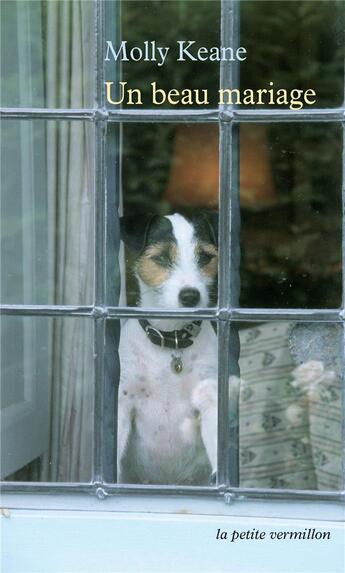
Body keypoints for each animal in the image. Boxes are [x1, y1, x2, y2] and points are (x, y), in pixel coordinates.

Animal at [117, 212, 216, 484]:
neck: (172, 340)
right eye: (161, 257)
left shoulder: (210, 402)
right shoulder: (123, 403)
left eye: (205, 257)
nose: (191, 296)